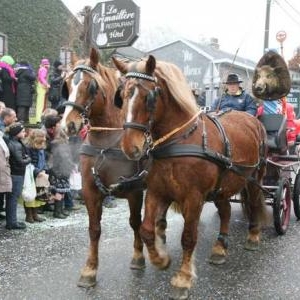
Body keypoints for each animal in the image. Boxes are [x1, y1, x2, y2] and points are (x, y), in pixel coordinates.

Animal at [60, 48, 145, 288]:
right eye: (67, 84)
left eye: (91, 86)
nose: (68, 125)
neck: (106, 144)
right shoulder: (90, 190)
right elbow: (94, 229)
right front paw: (89, 270)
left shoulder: (135, 190)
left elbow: (135, 222)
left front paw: (138, 257)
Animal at [112, 55, 268, 298]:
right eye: (121, 96)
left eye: (149, 97)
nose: (130, 147)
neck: (179, 141)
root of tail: (252, 119)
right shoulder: (157, 191)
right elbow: (147, 230)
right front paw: (161, 259)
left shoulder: (194, 197)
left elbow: (188, 237)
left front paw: (183, 278)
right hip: (223, 186)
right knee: (225, 211)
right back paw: (219, 249)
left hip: (254, 178)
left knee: (253, 203)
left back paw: (253, 236)